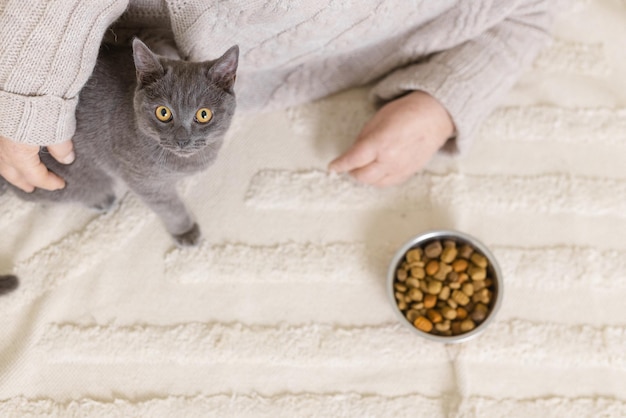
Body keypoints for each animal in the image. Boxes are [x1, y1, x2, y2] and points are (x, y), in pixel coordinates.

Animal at [0, 39, 239, 294]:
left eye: (203, 114)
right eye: (163, 112)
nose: (182, 140)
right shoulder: (144, 181)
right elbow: (170, 207)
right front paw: (186, 231)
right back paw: (102, 200)